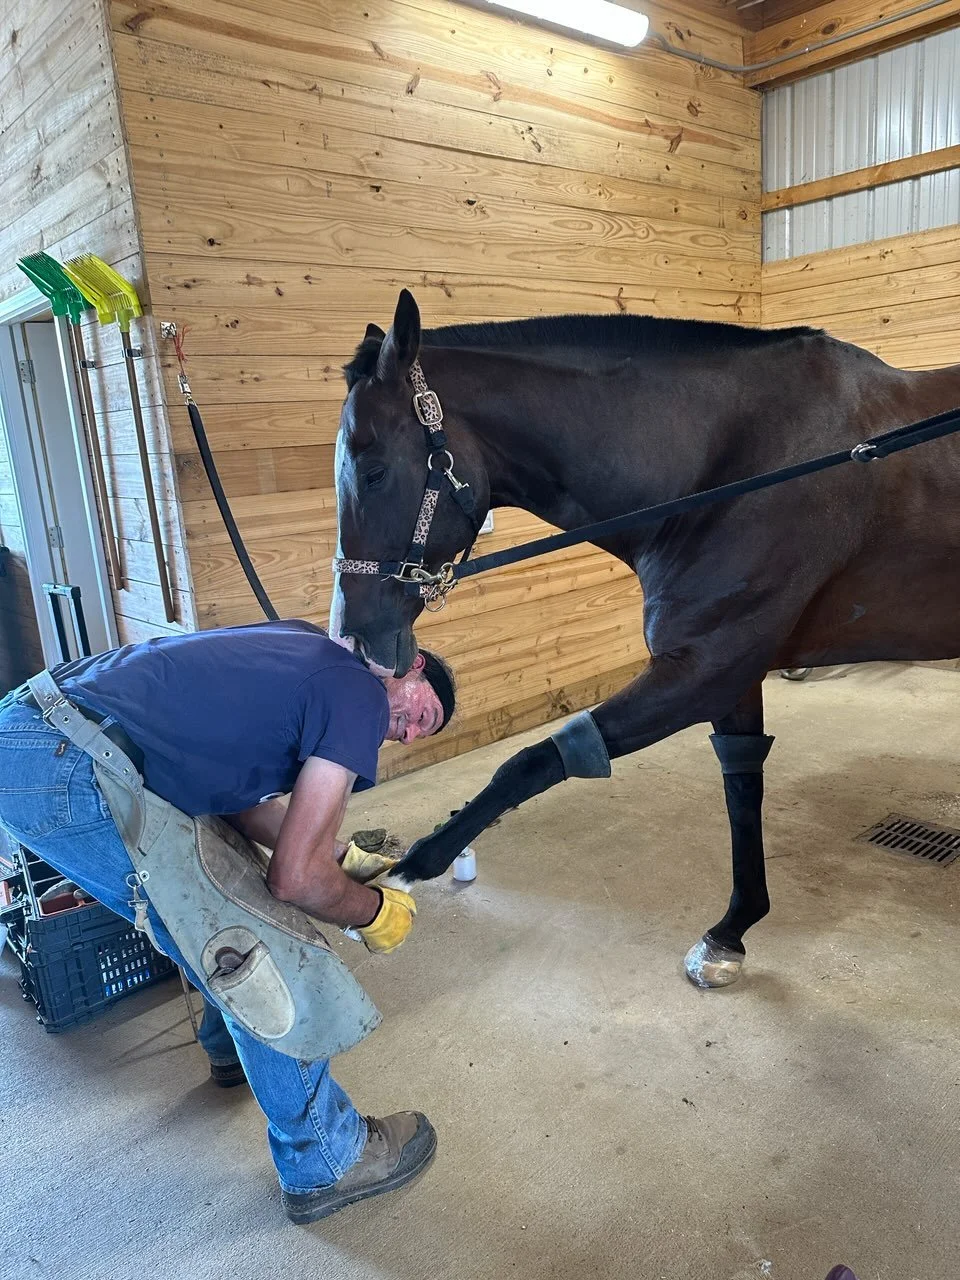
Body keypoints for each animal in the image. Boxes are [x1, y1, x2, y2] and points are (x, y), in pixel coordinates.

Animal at [329, 289, 960, 988]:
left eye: (375, 469)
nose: (354, 636)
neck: (741, 465)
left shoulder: (703, 670)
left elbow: (533, 761)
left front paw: (410, 868)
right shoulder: (727, 676)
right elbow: (741, 784)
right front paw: (732, 930)